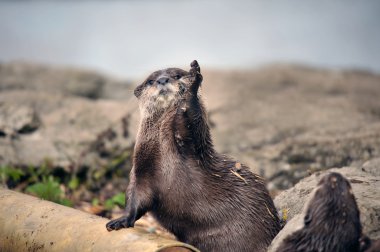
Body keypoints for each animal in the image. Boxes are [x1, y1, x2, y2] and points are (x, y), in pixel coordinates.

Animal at [105, 60, 280, 251]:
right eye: (150, 81)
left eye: (176, 75)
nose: (162, 80)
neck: (161, 149)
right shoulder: (142, 168)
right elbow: (136, 195)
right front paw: (121, 220)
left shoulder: (192, 144)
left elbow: (190, 120)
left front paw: (193, 82)